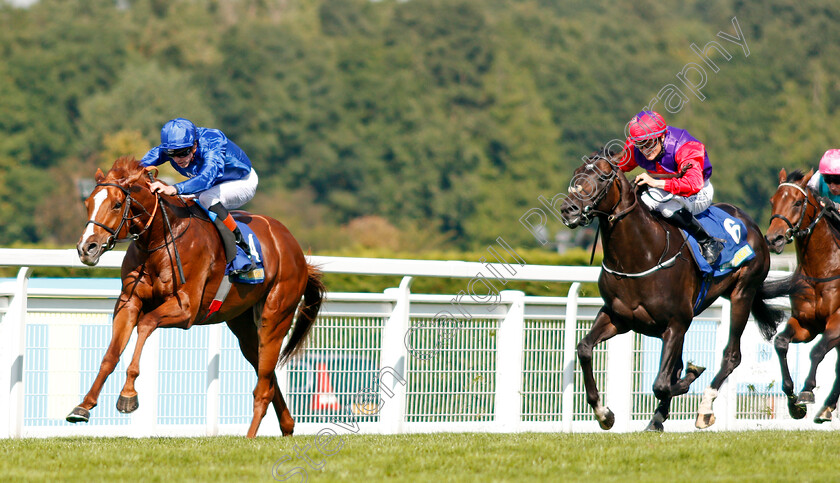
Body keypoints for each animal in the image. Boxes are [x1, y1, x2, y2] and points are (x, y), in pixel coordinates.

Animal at [69, 156, 324, 438]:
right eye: (88, 204)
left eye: (116, 204)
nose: (86, 248)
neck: (161, 237)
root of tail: (294, 249)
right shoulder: (129, 302)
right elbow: (111, 354)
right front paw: (83, 406)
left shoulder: (186, 309)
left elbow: (146, 324)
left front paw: (128, 395)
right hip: (243, 326)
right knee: (266, 376)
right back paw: (287, 426)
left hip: (275, 317)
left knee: (264, 386)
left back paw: (250, 437)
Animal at [556, 151, 788, 432]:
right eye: (576, 174)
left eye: (602, 176)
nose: (568, 209)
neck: (640, 255)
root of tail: (750, 223)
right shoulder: (618, 317)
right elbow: (584, 348)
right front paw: (604, 413)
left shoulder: (676, 323)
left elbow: (663, 383)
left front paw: (692, 376)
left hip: (743, 292)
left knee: (732, 355)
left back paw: (704, 408)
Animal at [764, 169, 840, 424]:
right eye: (773, 201)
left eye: (798, 202)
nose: (774, 239)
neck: (822, 270)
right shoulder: (806, 324)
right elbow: (781, 343)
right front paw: (792, 401)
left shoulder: (837, 323)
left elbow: (817, 351)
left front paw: (807, 391)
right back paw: (827, 407)